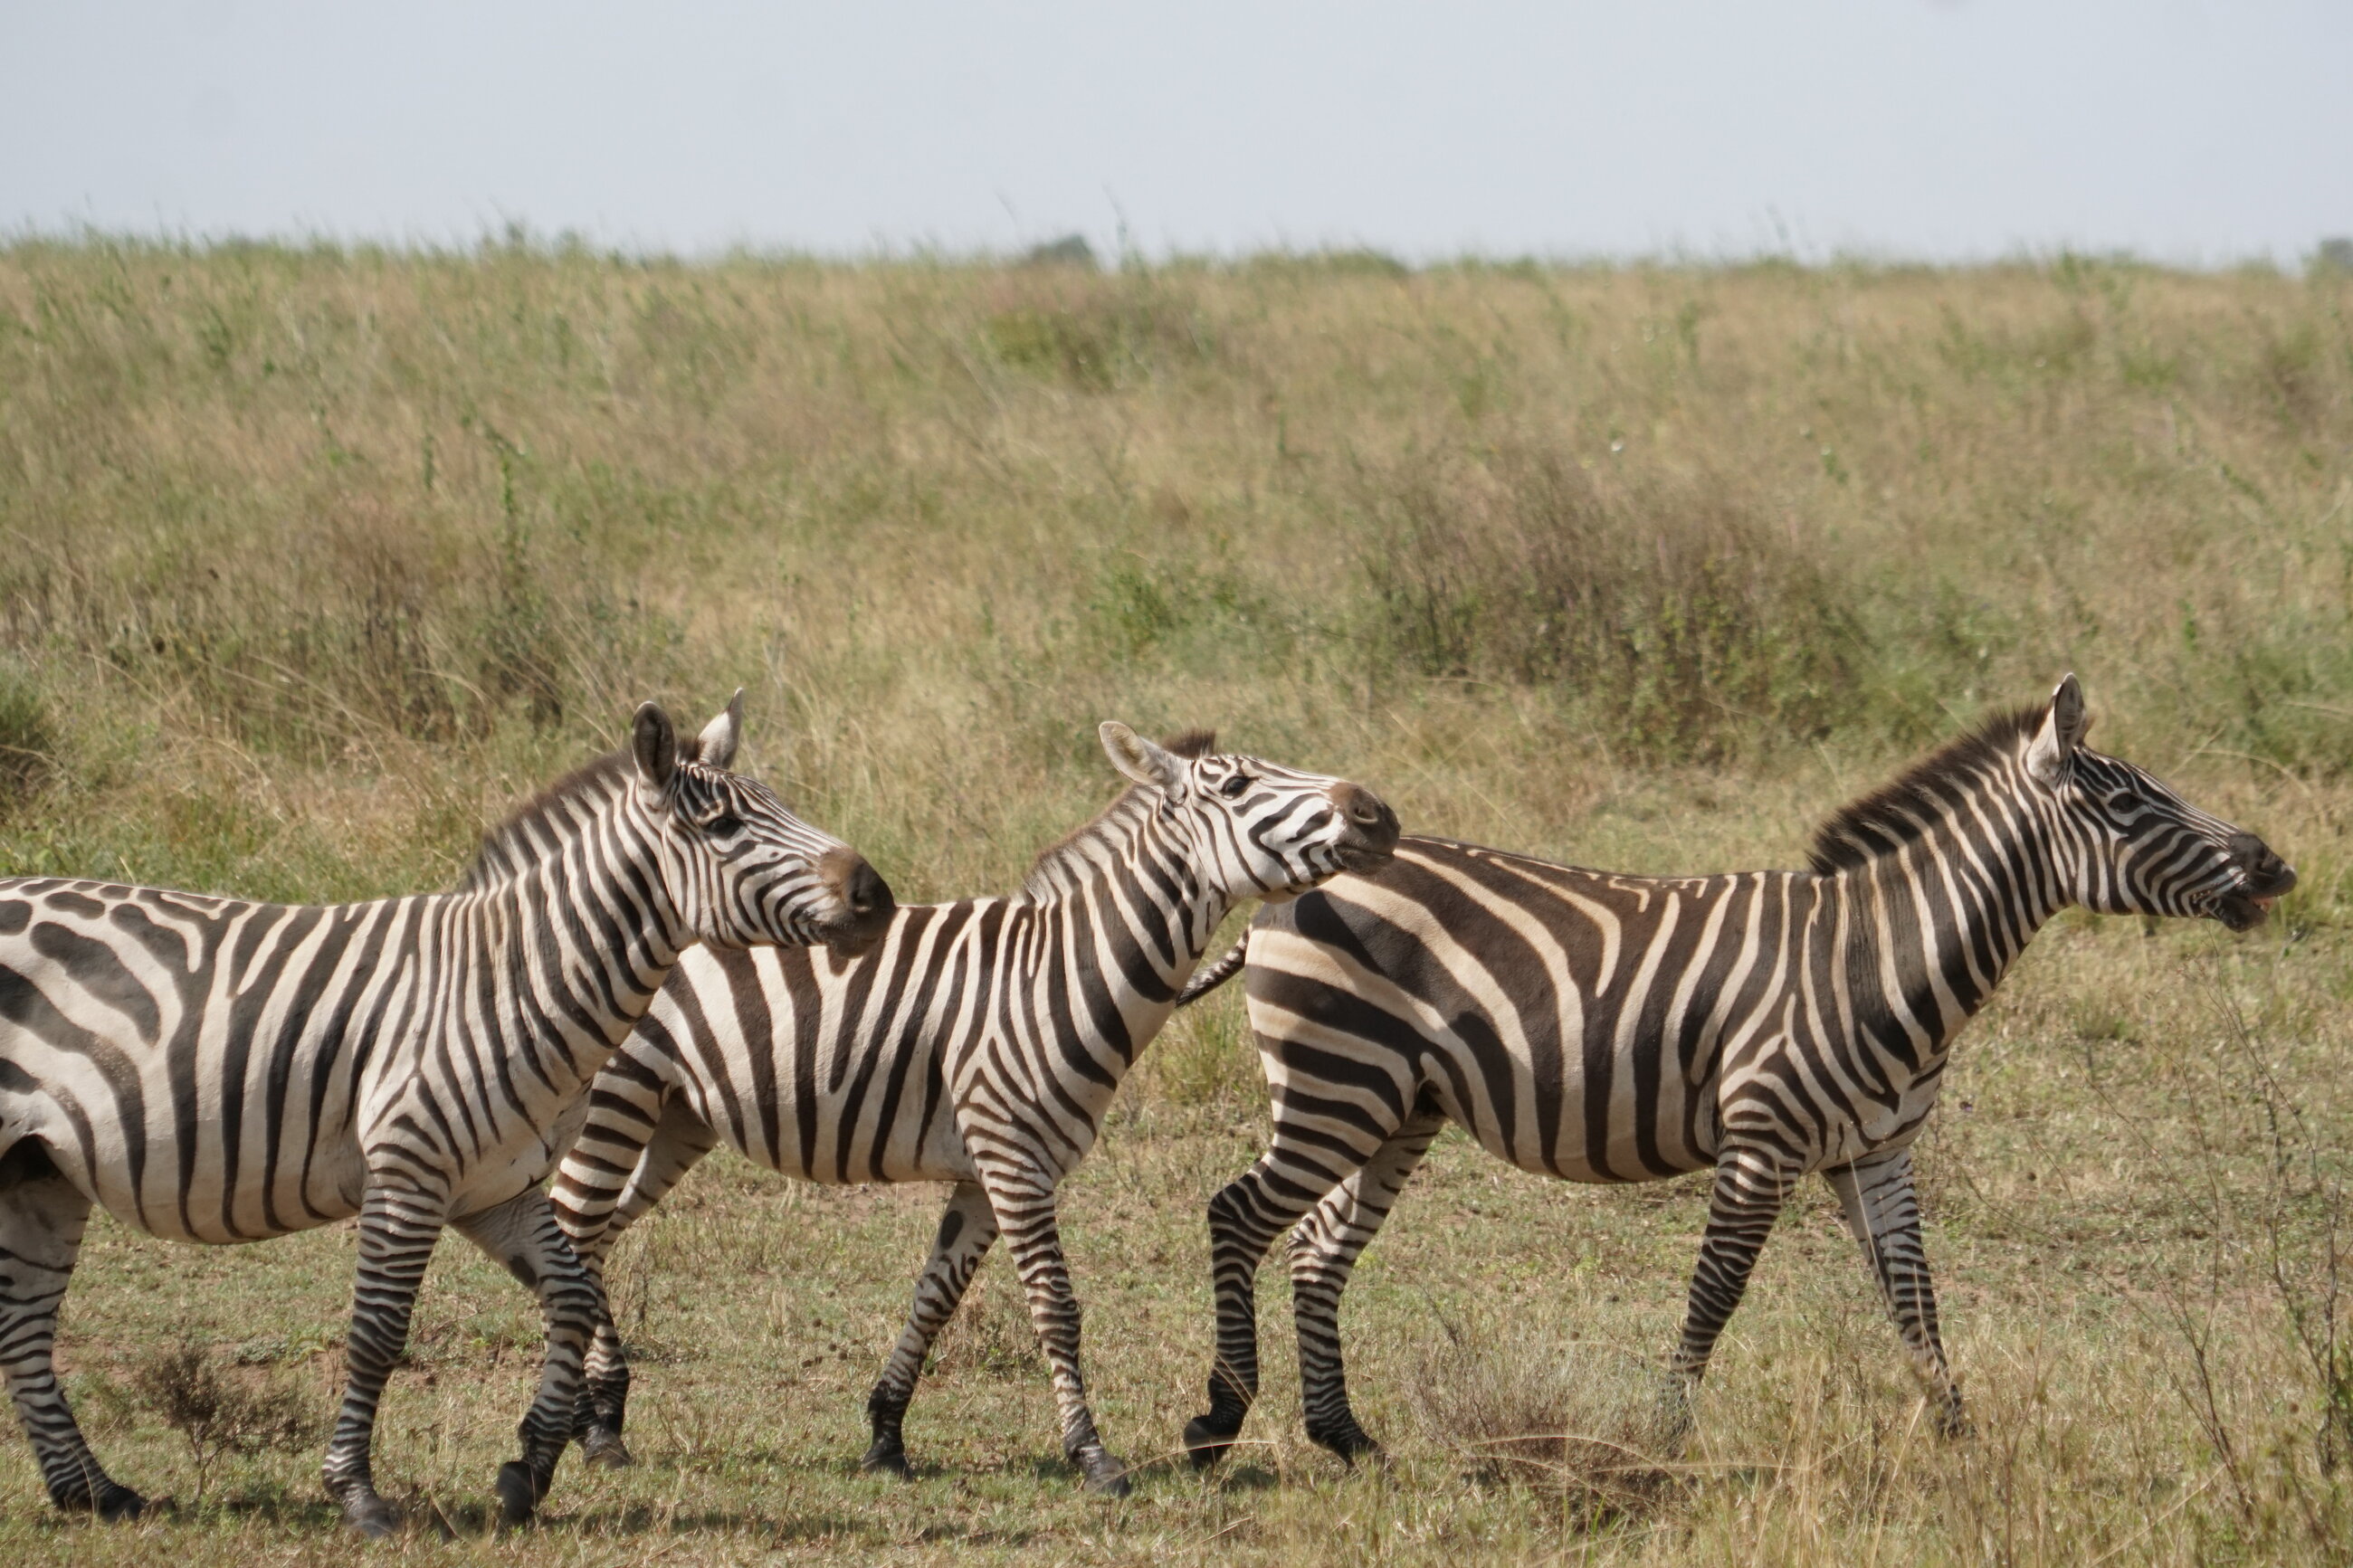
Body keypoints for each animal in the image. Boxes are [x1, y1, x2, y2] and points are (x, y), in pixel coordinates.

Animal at [0, 695, 894, 1534]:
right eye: (726, 826)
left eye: (777, 802)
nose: (877, 894)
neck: (513, 978)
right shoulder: (409, 1169)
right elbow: (377, 1331)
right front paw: (357, 1493)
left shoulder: (496, 1186)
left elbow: (572, 1296)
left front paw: (527, 1470)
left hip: (39, 1172)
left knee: (25, 1329)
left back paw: (93, 1491)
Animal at [549, 722, 1399, 1494]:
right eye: (1237, 785)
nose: (1379, 812)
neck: (1060, 972)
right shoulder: (1014, 1157)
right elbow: (1055, 1306)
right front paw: (1092, 1455)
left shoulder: (985, 1172)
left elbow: (935, 1297)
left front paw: (886, 1435)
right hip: (618, 1096)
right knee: (575, 1227)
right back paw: (595, 1426)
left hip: (675, 1116)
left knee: (598, 1234)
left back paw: (603, 1413)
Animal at [1173, 676, 2295, 1466]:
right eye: (2125, 803)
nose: (2274, 865)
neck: (1875, 954)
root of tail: (1281, 897)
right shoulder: (1764, 1138)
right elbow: (1715, 1288)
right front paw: (1663, 1431)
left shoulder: (1876, 1153)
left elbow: (1913, 1296)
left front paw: (1960, 1438)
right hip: (1338, 1083)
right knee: (1237, 1213)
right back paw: (1219, 1417)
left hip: (1396, 1104)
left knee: (1317, 1247)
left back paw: (1343, 1435)